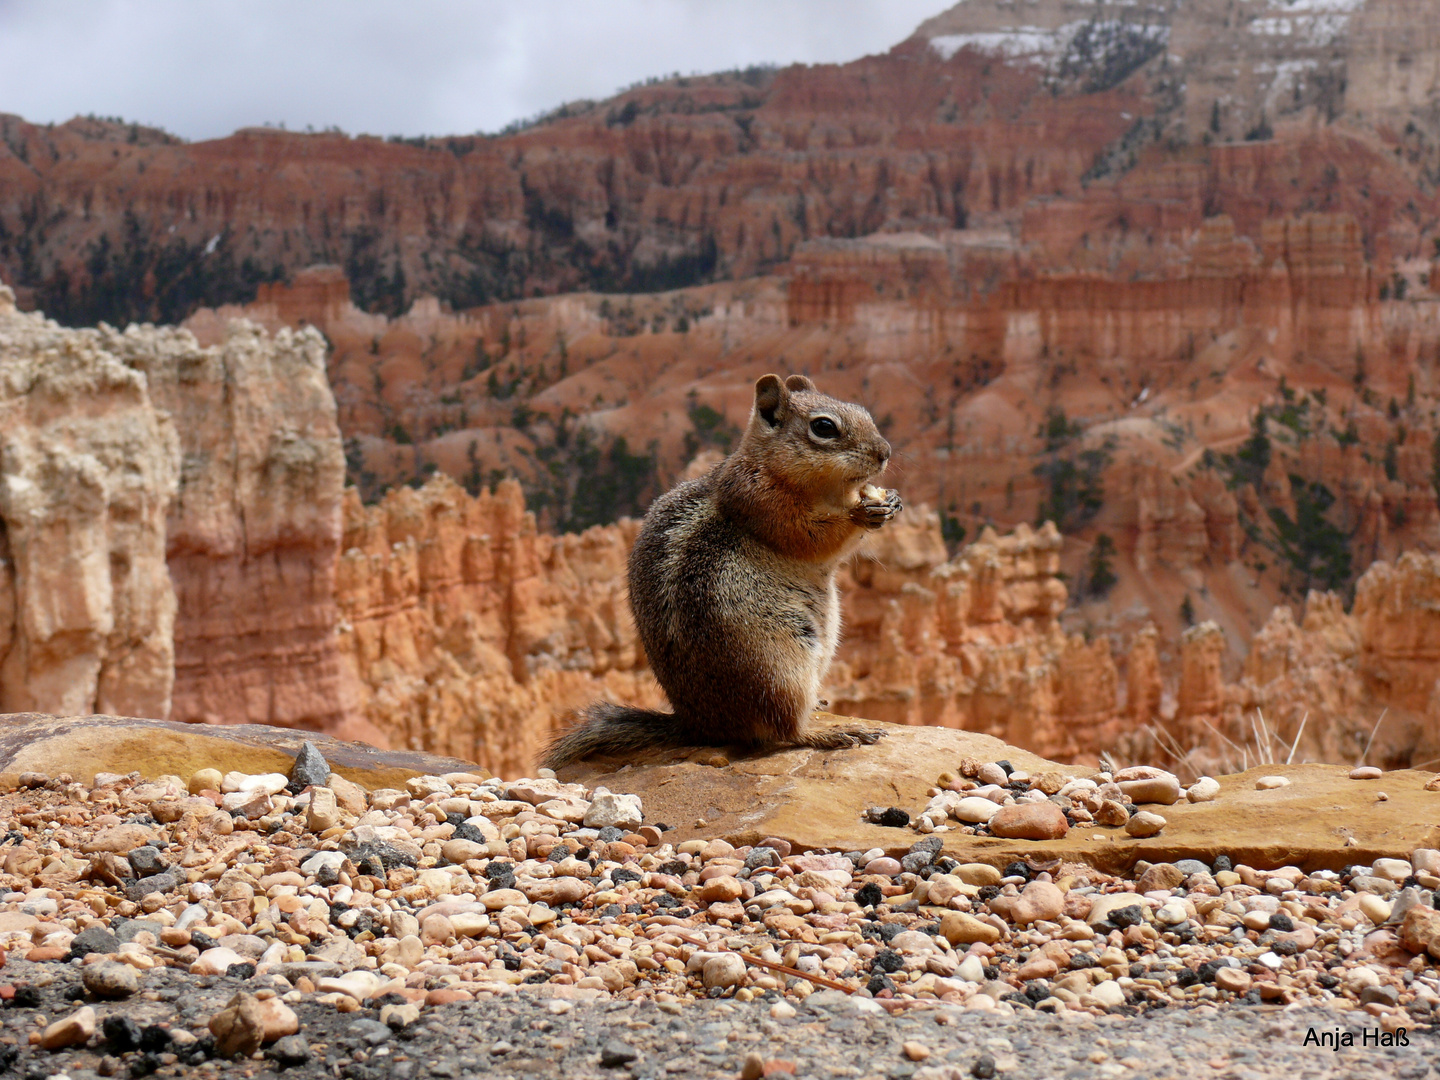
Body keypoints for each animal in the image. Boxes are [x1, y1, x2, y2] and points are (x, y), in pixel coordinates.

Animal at [541, 374, 898, 771]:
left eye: (864, 412)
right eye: (824, 427)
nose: (884, 452)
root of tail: (699, 725)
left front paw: (889, 501)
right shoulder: (764, 503)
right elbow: (814, 538)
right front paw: (861, 514)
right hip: (778, 669)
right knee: (784, 729)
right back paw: (831, 734)